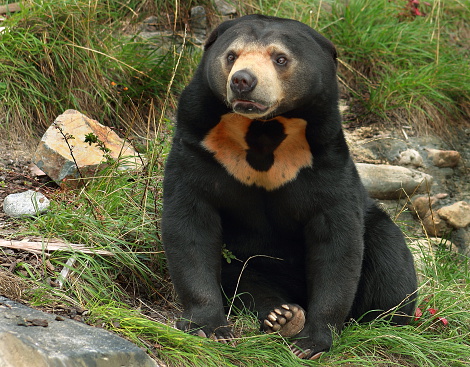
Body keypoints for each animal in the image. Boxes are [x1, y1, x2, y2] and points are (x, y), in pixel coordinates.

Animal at [161, 15, 414, 362]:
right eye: (231, 55)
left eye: (280, 58)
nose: (242, 81)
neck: (263, 130)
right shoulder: (198, 146)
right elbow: (190, 224)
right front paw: (209, 327)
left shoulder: (324, 158)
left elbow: (337, 241)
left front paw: (312, 343)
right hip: (249, 263)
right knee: (245, 282)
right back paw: (281, 315)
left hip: (379, 231)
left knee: (391, 263)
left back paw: (384, 323)